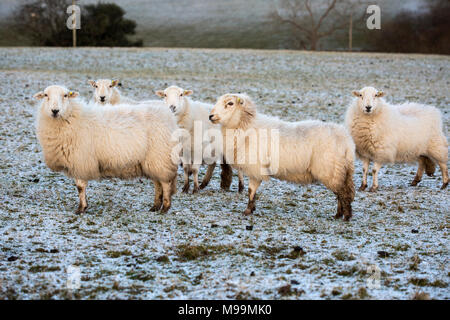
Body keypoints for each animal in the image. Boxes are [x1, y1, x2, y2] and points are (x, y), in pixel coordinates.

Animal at [34, 85, 178, 215]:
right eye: (46, 95)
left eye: (65, 95)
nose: (55, 110)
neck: (72, 116)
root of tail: (168, 114)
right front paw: (84, 206)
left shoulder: (80, 161)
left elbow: (80, 187)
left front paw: (81, 209)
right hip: (153, 160)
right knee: (158, 183)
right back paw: (155, 206)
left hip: (160, 156)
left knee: (165, 183)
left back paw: (165, 208)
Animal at [210, 94, 356, 221]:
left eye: (230, 103)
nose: (211, 116)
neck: (246, 126)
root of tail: (346, 140)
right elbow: (252, 191)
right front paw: (251, 209)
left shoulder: (256, 169)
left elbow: (251, 190)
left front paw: (247, 211)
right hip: (340, 171)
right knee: (342, 193)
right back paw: (338, 215)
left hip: (331, 171)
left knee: (343, 193)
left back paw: (346, 216)